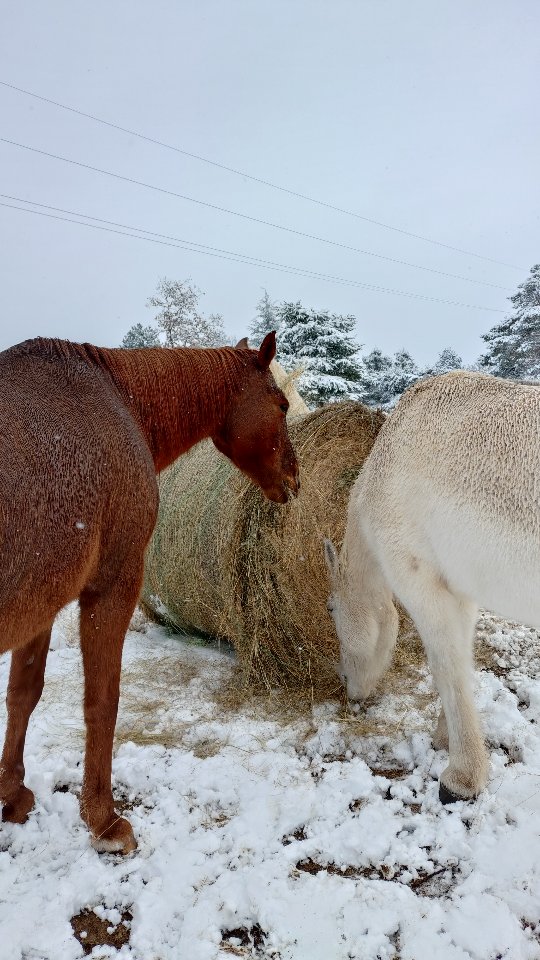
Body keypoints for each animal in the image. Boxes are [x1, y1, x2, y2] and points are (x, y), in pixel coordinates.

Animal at [0, 331, 299, 852]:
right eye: (281, 404)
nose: (296, 478)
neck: (118, 399)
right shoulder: (111, 584)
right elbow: (102, 699)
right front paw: (103, 820)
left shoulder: (43, 601)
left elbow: (23, 692)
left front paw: (12, 795)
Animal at [325, 371, 540, 804]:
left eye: (331, 609)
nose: (347, 686)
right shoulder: (462, 588)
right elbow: (462, 662)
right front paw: (446, 737)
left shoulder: (419, 580)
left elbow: (445, 665)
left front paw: (461, 777)